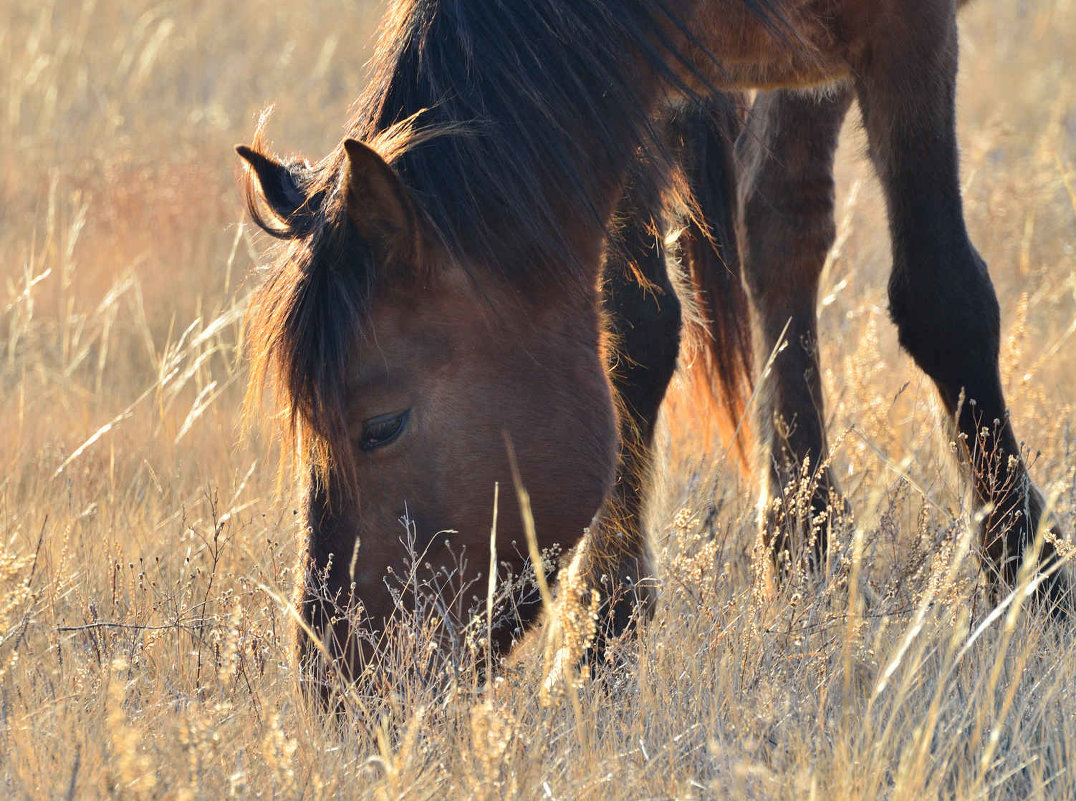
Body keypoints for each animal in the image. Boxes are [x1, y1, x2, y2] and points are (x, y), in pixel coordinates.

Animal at [235, 0, 1067, 689]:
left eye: (381, 426)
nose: (334, 681)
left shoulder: (908, 32)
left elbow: (942, 300)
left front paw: (1030, 577)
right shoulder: (634, 82)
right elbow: (636, 325)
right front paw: (599, 631)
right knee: (781, 219)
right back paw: (799, 544)